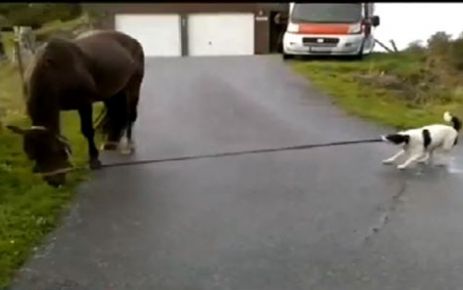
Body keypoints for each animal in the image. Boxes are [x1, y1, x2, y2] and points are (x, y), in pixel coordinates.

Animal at [6, 30, 145, 186]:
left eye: (54, 149)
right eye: (31, 155)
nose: (54, 182)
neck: (53, 73)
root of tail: (133, 40)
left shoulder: (84, 103)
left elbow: (87, 130)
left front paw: (94, 160)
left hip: (134, 84)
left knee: (130, 114)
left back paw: (128, 145)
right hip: (112, 91)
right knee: (114, 111)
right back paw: (110, 141)